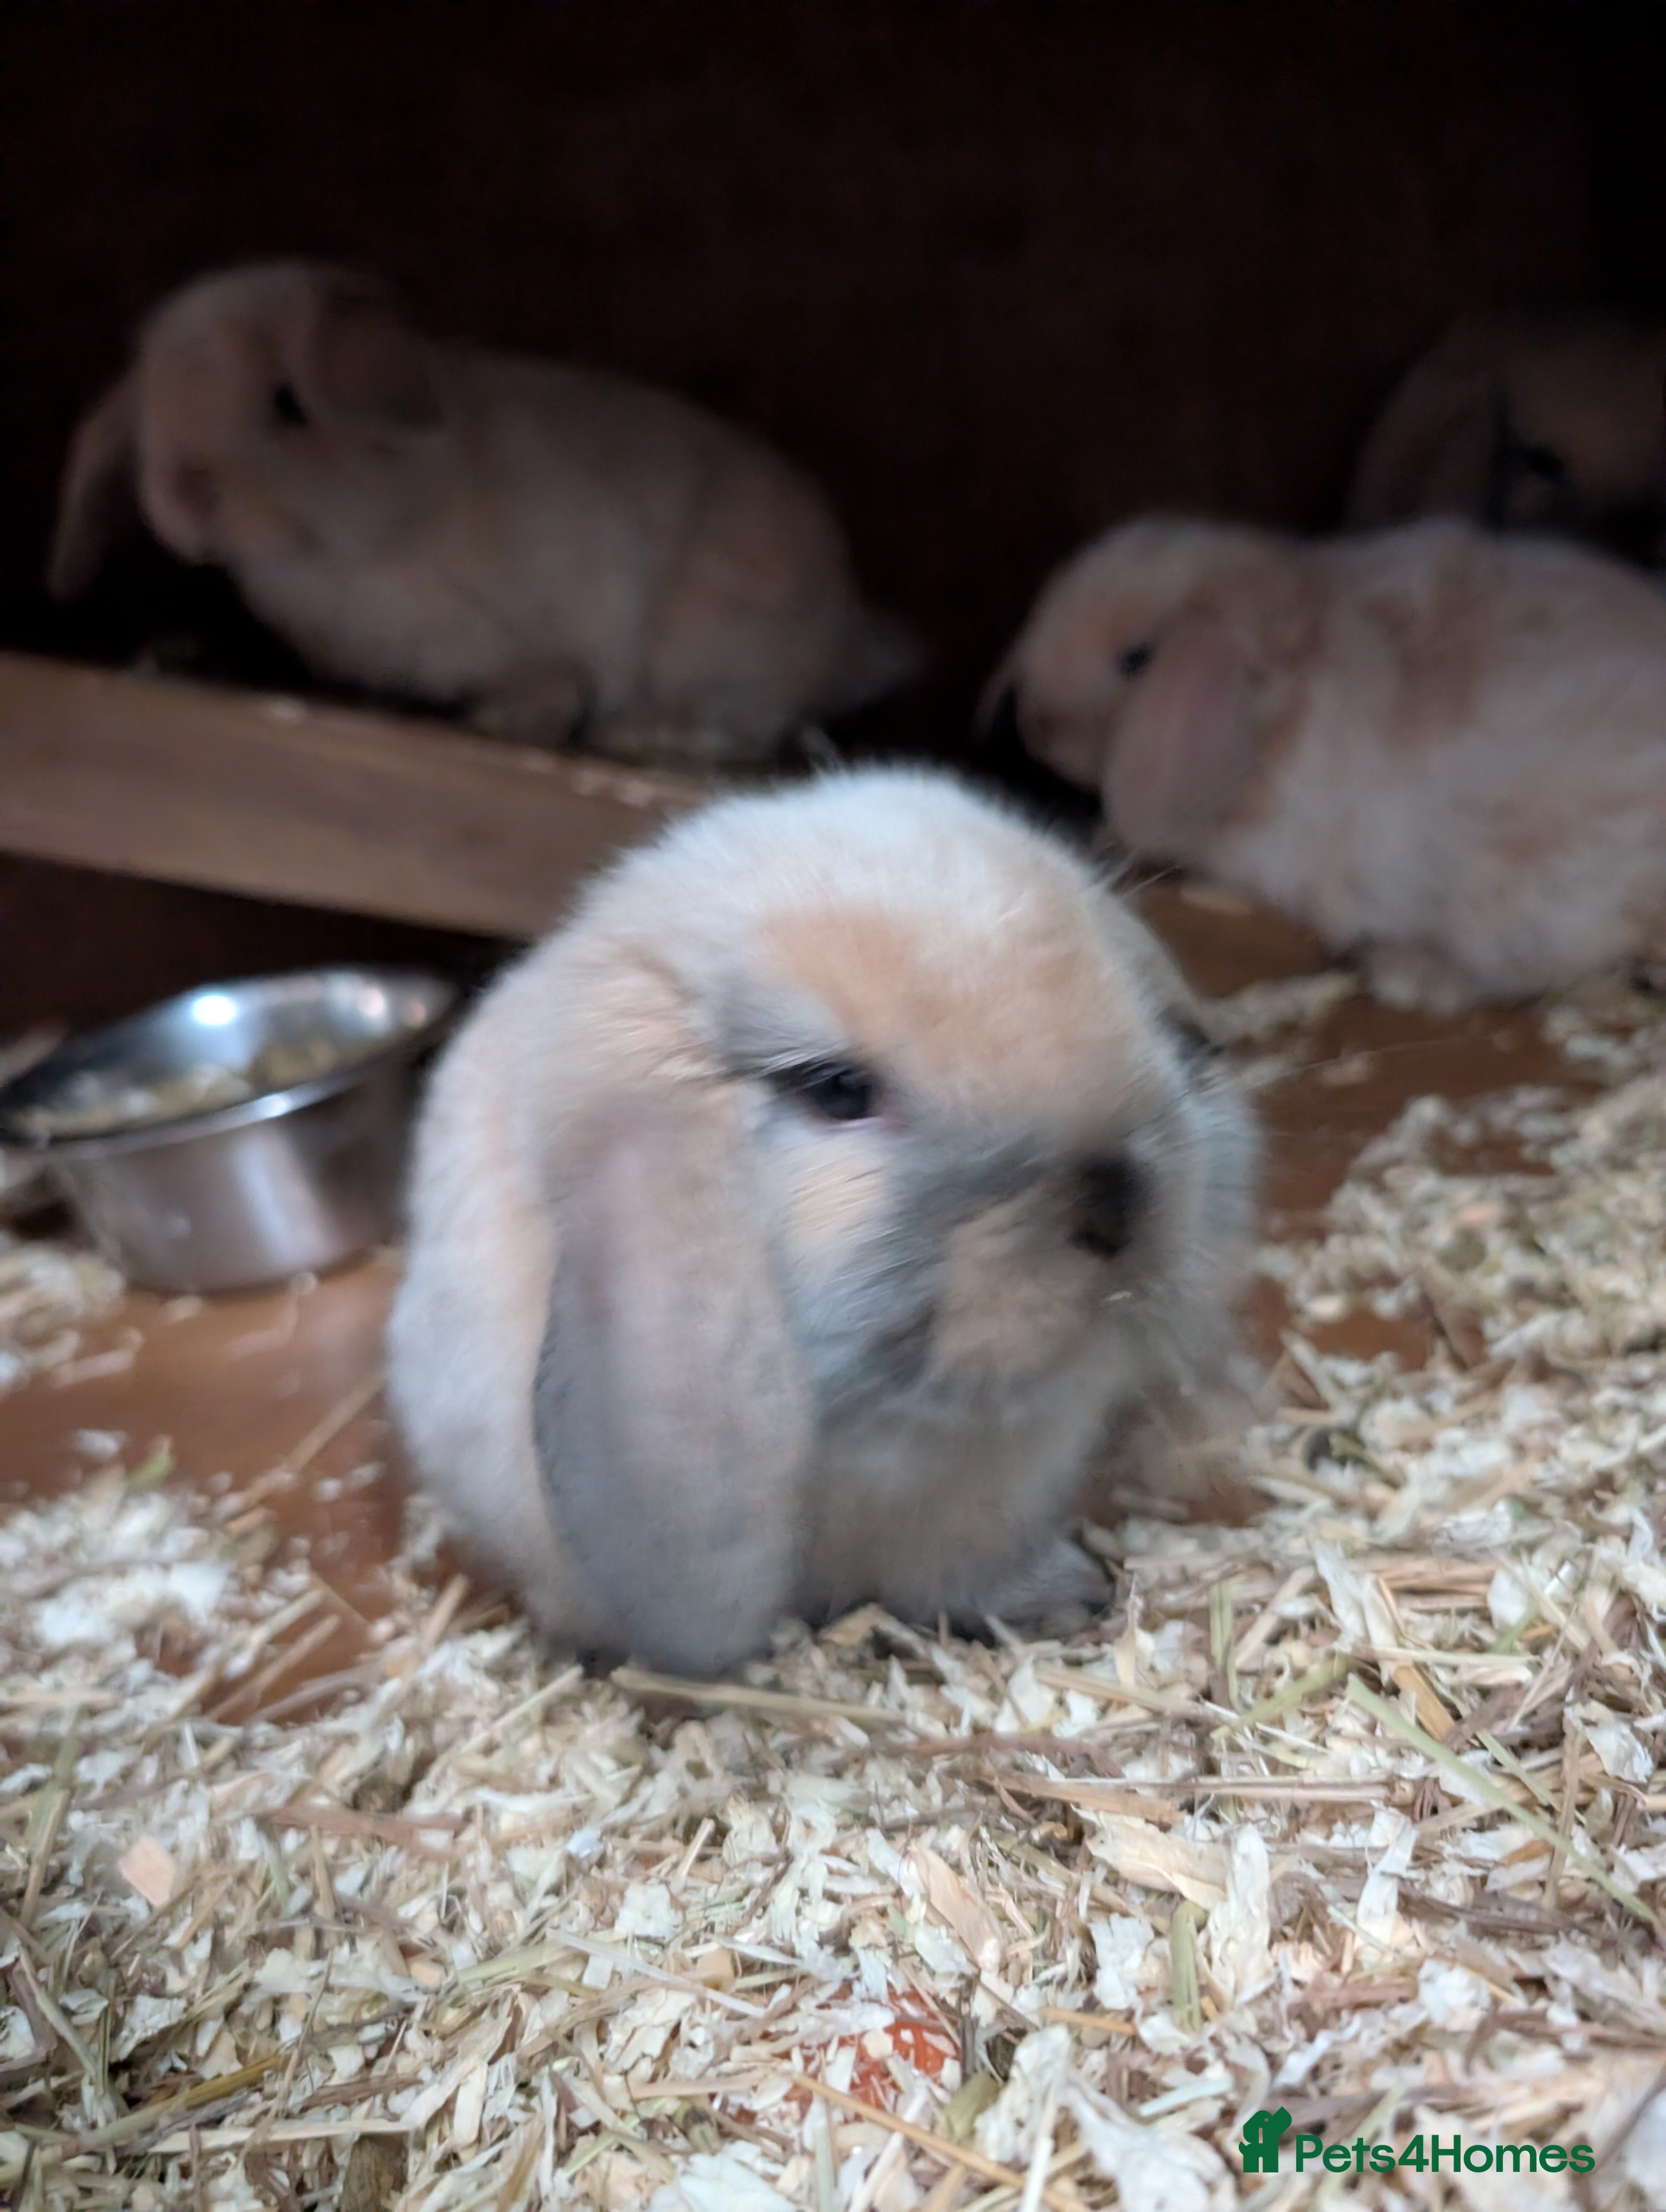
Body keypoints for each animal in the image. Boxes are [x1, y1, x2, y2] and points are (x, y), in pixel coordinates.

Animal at [45, 262, 919, 767]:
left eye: (289, 405)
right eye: (151, 418)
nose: (182, 494)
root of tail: (847, 636)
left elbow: (556, 675)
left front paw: (515, 717)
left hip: (714, 644)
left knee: (748, 722)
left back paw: (642, 732)